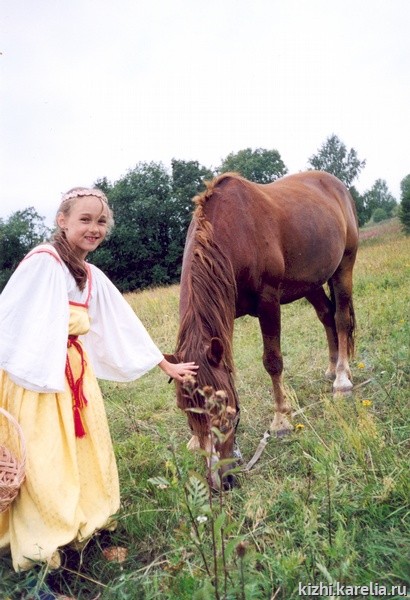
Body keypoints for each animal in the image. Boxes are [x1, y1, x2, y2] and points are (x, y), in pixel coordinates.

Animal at [166, 170, 359, 488]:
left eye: (225, 407)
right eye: (186, 411)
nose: (220, 482)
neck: (234, 232)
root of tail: (336, 185)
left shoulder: (269, 302)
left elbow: (272, 361)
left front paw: (280, 421)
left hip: (344, 265)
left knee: (341, 318)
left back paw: (341, 379)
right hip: (311, 283)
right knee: (327, 317)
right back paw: (332, 369)